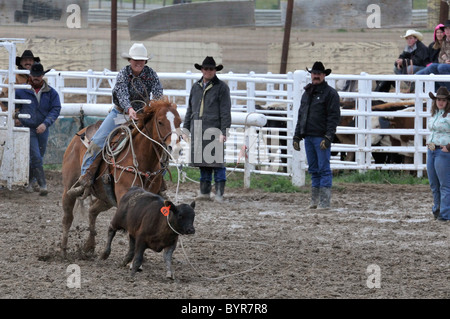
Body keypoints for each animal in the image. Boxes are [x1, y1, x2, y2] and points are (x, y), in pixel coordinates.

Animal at [60, 99, 182, 256]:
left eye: (179, 122)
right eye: (160, 122)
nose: (175, 147)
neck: (143, 159)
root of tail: (80, 133)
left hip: (106, 198)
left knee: (92, 211)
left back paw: (89, 246)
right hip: (69, 187)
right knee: (68, 217)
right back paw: (63, 250)